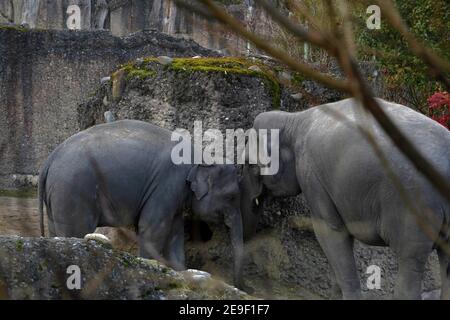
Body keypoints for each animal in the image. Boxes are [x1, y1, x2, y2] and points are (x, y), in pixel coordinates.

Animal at [39, 119, 246, 290]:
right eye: (231, 197)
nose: (238, 286)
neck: (200, 155)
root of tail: (49, 160)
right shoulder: (167, 184)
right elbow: (153, 230)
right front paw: (152, 267)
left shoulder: (174, 195)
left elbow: (175, 234)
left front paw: (180, 270)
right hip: (73, 191)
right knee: (75, 231)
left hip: (58, 196)